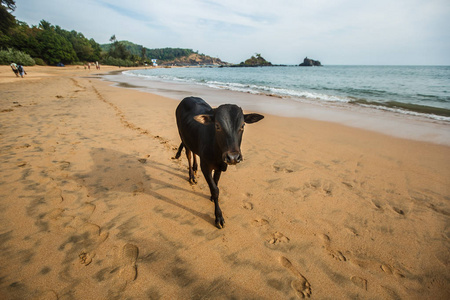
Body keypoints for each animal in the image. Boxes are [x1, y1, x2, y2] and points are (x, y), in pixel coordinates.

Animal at [173, 97, 264, 229]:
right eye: (217, 125)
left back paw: (195, 168)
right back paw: (191, 176)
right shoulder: (206, 166)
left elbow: (215, 184)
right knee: (189, 155)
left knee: (194, 152)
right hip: (183, 137)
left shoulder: (220, 166)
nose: (233, 157)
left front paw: (212, 198)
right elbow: (215, 190)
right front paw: (219, 217)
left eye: (242, 125)